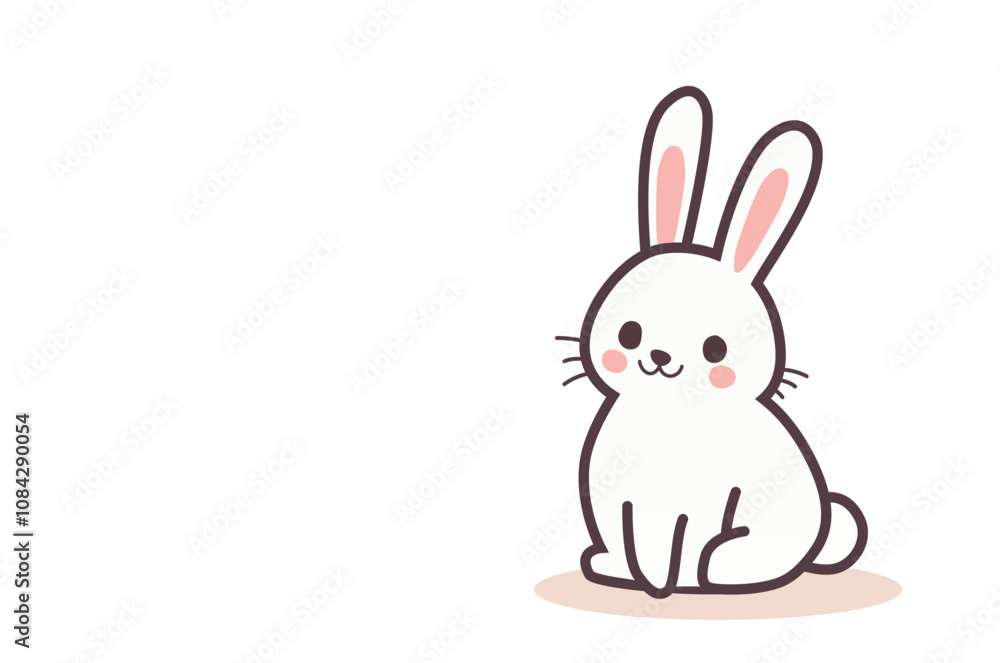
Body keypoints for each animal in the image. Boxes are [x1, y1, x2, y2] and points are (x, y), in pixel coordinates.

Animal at [564, 87, 868, 598]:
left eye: (716, 350)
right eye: (629, 333)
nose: (660, 357)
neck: (670, 415)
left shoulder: (704, 503)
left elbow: (682, 537)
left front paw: (674, 582)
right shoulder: (620, 501)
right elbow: (628, 534)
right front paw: (624, 572)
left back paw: (716, 572)